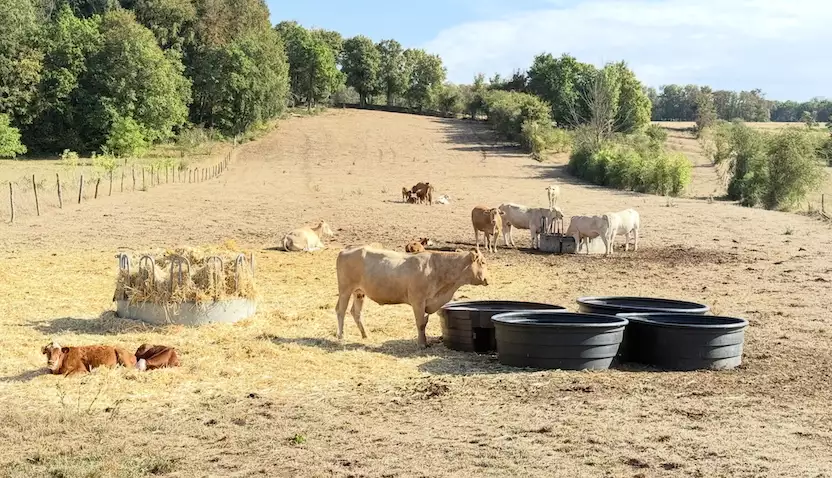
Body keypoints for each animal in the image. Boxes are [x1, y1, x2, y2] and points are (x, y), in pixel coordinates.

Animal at [335, 246, 490, 348]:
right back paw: (341, 336)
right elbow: (420, 323)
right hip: (345, 290)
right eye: (482, 262)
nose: (487, 279)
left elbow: (424, 323)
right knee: (341, 311)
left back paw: (365, 335)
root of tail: (345, 251)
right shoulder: (418, 301)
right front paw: (422, 344)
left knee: (356, 312)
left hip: (359, 293)